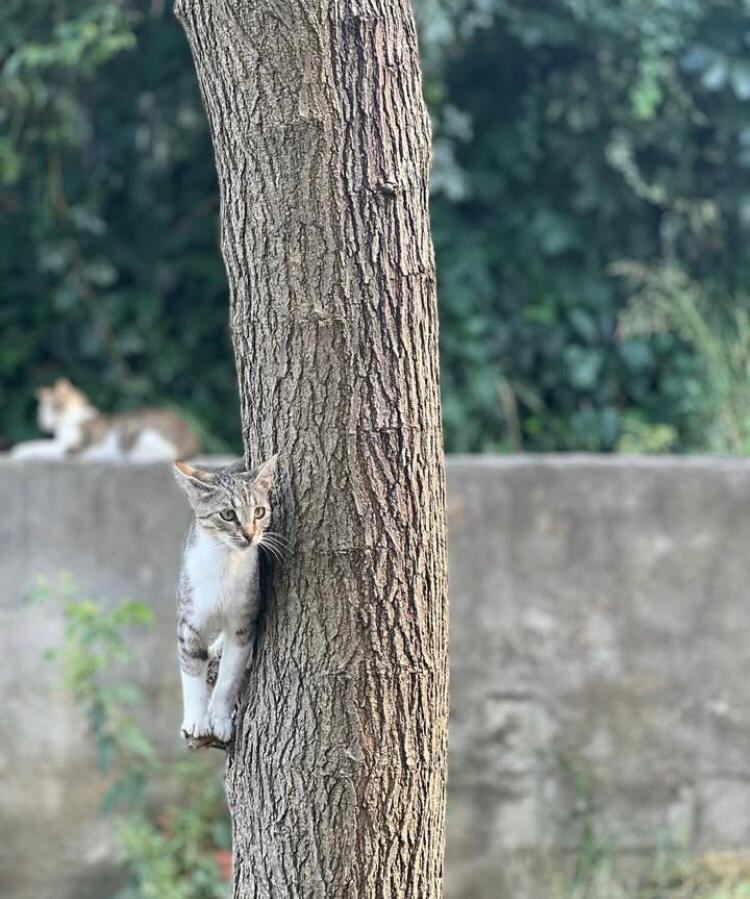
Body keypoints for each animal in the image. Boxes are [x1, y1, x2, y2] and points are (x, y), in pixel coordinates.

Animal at [12, 380, 200, 464]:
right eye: (40, 412)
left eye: (53, 407)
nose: (42, 422)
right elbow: (36, 443)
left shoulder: (71, 444)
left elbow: (35, 446)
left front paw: (17, 451)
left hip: (135, 428)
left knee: (168, 453)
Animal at [173, 458, 282, 744]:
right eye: (228, 515)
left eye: (259, 512)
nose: (249, 535)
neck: (225, 564)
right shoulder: (189, 618)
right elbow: (191, 670)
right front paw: (196, 721)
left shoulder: (243, 622)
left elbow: (229, 678)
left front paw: (220, 720)